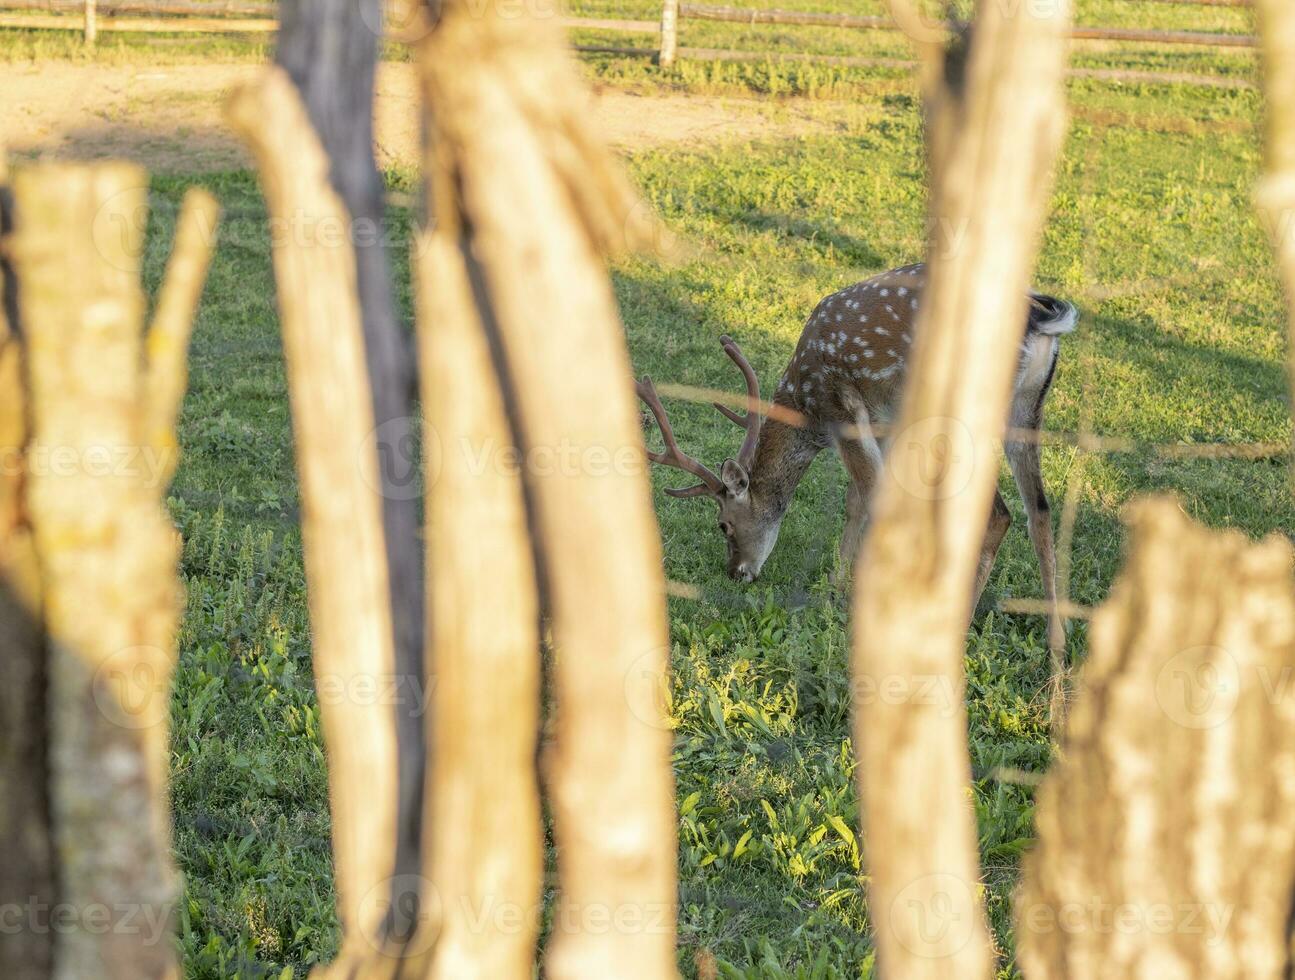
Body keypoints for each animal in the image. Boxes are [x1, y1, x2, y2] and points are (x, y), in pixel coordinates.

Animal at [631, 260, 1077, 647]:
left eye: (723, 524)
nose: (736, 573)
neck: (805, 405)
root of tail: (1042, 320)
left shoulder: (841, 410)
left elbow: (874, 495)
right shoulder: (884, 422)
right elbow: (858, 502)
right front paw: (837, 586)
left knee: (998, 513)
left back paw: (958, 626)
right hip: (1028, 406)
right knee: (1039, 509)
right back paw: (1056, 648)